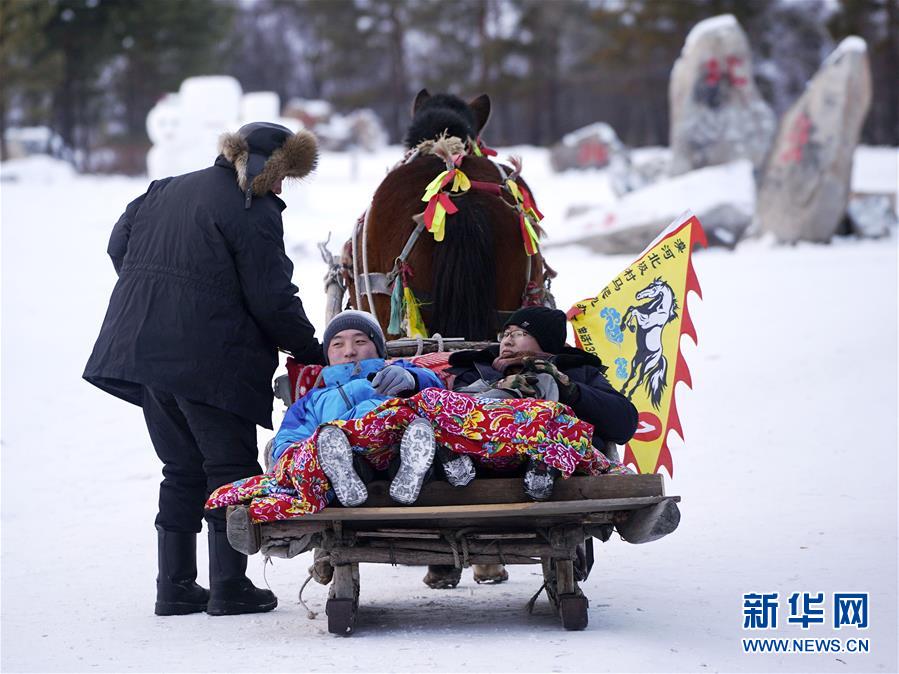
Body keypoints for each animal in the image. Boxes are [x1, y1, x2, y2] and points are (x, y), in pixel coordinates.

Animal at [624, 276, 680, 406]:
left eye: (653, 287)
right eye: (649, 284)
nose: (638, 295)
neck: (658, 309)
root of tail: (660, 357)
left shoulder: (644, 323)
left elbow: (634, 311)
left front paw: (630, 327)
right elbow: (632, 308)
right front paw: (623, 325)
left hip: (647, 365)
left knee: (640, 380)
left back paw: (629, 395)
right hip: (637, 359)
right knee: (634, 373)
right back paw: (623, 389)